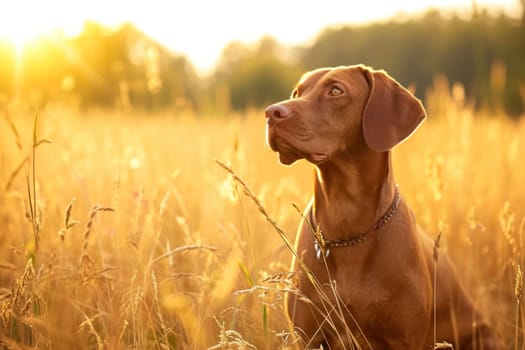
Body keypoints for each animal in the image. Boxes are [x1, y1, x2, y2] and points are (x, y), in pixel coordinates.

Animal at [264, 64, 502, 348]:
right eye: (297, 92)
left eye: (336, 90)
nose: (271, 113)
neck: (345, 219)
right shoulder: (308, 335)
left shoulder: (404, 338)